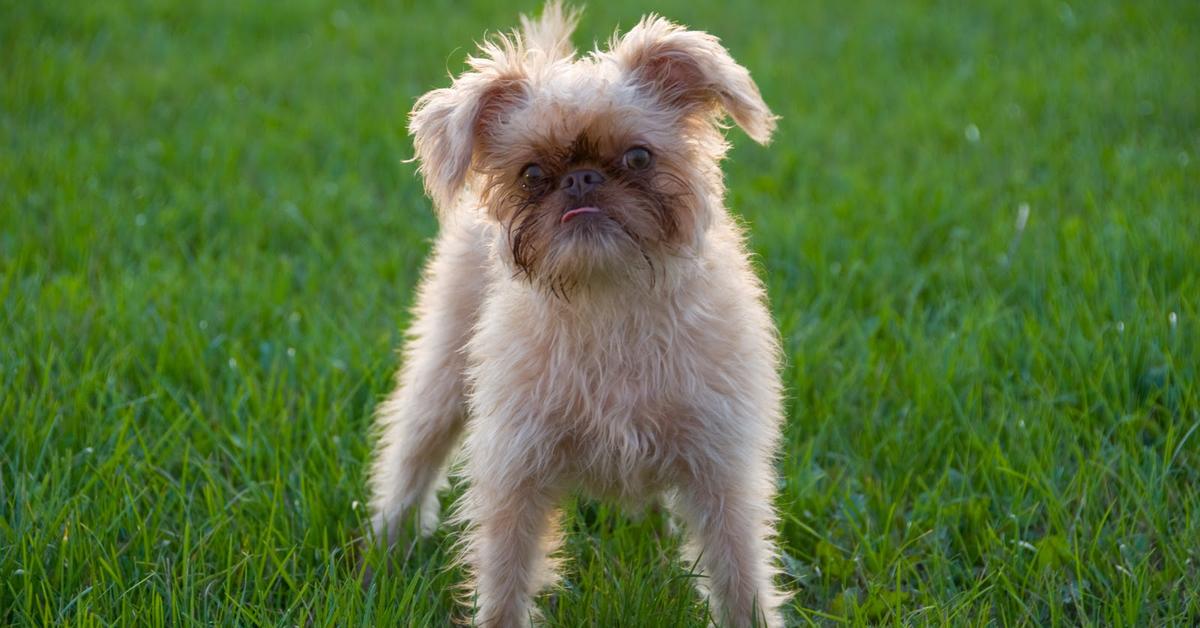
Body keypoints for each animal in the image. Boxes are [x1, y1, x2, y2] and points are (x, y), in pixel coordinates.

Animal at [369, 3, 792, 624]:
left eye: (638, 157)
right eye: (531, 174)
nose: (581, 178)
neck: (607, 298)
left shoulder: (722, 472)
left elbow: (739, 577)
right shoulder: (515, 472)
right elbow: (504, 580)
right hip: (443, 372)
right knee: (413, 450)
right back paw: (387, 541)